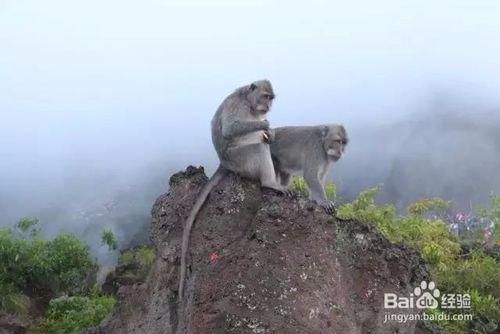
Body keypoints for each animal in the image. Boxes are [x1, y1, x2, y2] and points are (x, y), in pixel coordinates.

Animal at [179, 80, 290, 302]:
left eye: (271, 98)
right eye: (266, 97)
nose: (268, 107)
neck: (249, 102)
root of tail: (224, 162)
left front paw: (270, 132)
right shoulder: (237, 107)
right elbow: (231, 129)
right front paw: (265, 125)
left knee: (265, 145)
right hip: (240, 160)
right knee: (259, 148)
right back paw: (269, 183)